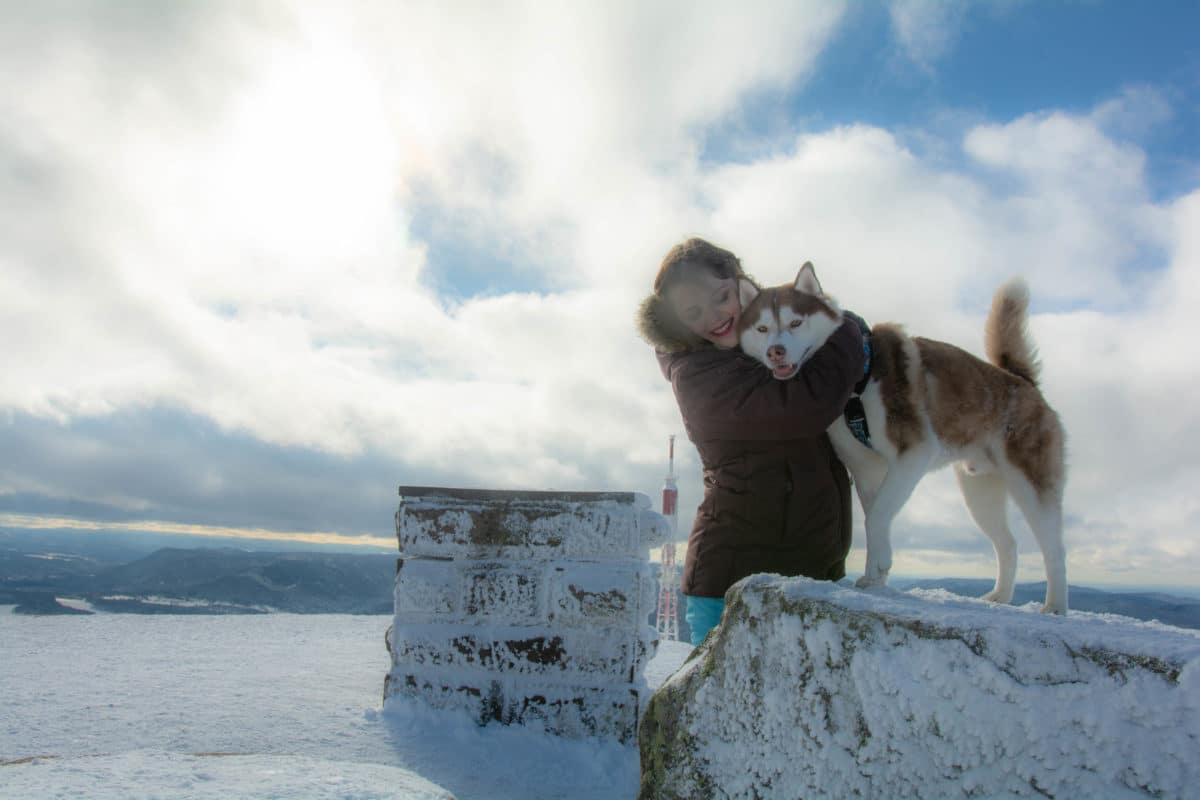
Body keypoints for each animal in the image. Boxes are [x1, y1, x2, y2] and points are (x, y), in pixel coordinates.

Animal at [739, 262, 1070, 614]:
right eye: (762, 328)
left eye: (795, 322)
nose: (776, 352)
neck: (857, 385)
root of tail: (1021, 380)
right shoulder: (865, 467)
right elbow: (875, 517)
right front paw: (875, 577)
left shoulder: (914, 452)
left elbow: (878, 516)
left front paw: (879, 568)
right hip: (978, 491)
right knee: (1008, 543)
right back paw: (1000, 597)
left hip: (1030, 483)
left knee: (1054, 548)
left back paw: (1055, 606)